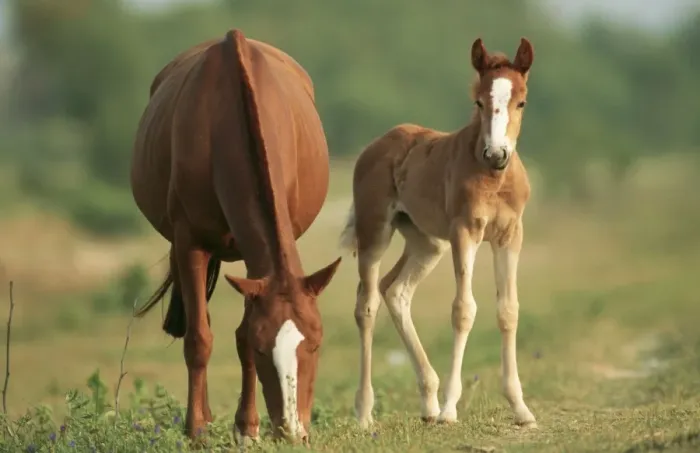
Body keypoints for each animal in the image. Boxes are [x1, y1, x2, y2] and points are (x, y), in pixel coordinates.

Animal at [130, 29, 342, 444]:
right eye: (264, 350)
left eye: (316, 343)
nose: (292, 431)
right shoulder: (189, 242)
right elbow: (200, 338)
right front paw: (197, 430)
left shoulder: (257, 255)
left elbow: (239, 334)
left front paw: (246, 429)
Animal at [339, 37, 537, 429]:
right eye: (479, 101)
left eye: (521, 101)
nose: (497, 154)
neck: (493, 179)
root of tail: (375, 145)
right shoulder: (465, 231)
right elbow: (463, 309)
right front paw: (449, 409)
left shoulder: (510, 235)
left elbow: (508, 309)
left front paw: (521, 408)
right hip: (375, 232)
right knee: (366, 304)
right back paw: (366, 413)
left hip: (426, 243)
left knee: (395, 290)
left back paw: (427, 402)